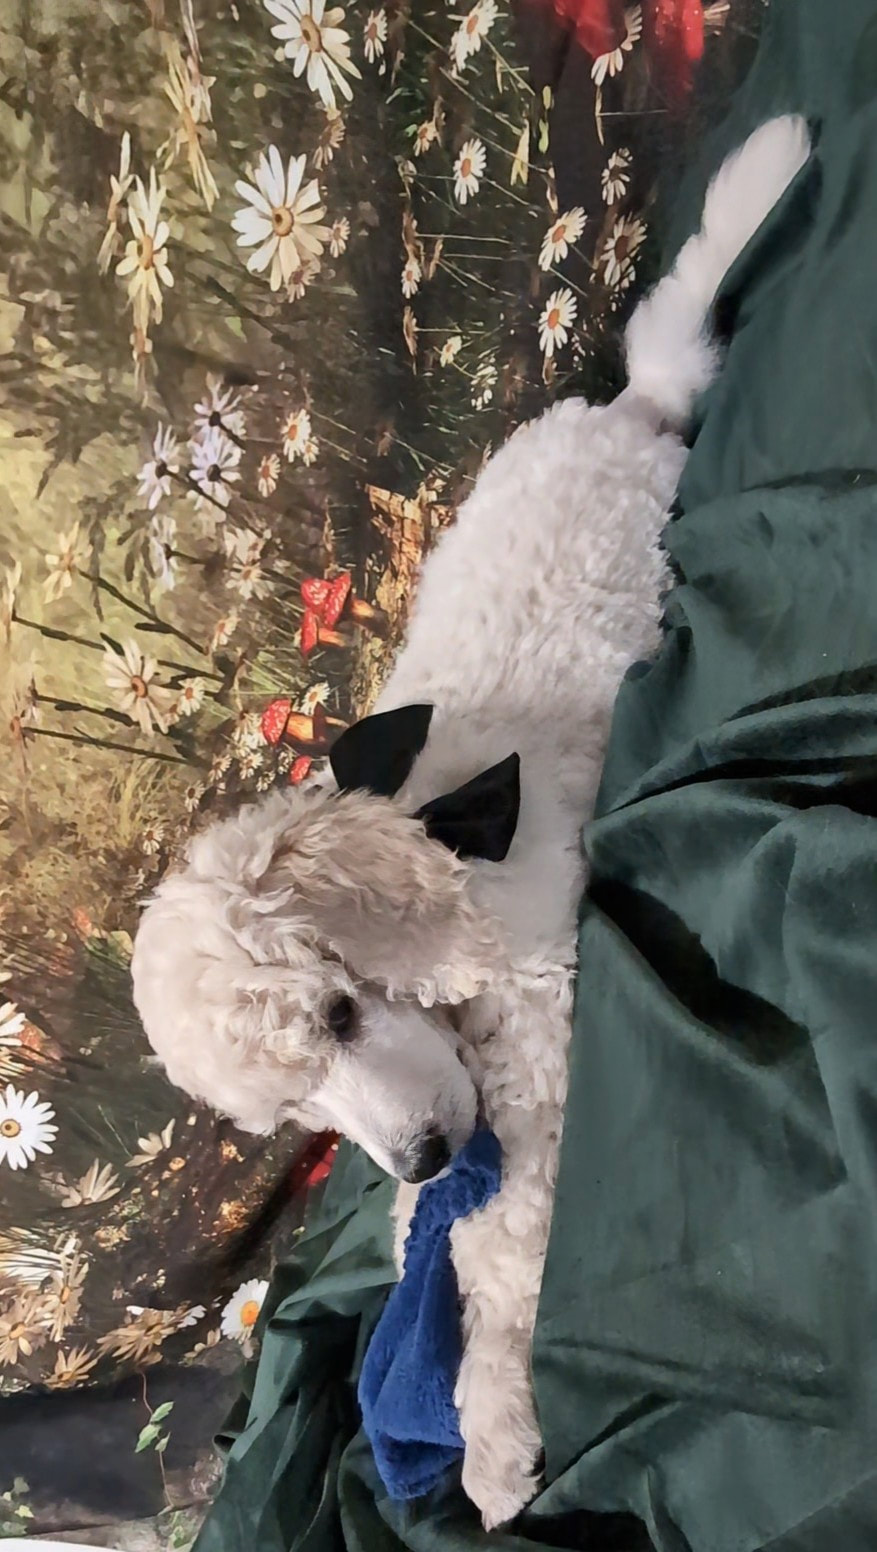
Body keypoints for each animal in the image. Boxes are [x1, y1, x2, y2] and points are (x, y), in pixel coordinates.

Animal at [132, 117, 810, 1529]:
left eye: (340, 1011)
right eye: (294, 1114)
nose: (430, 1149)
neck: (422, 828)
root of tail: (619, 407)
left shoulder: (539, 1030)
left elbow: (504, 1237)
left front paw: (492, 1426)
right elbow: (429, 1233)